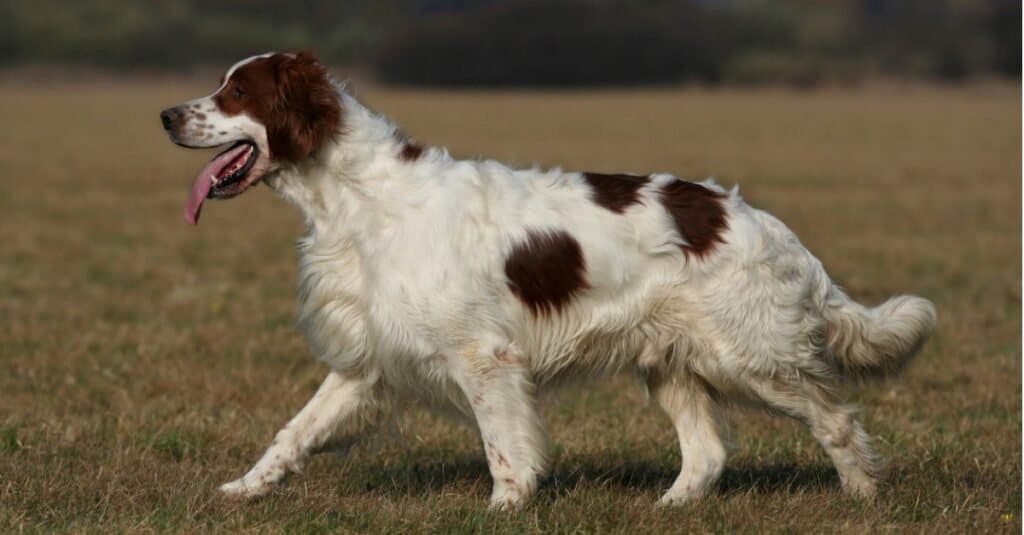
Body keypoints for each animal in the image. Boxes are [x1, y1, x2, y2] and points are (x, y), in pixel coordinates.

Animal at [159, 52, 937, 506]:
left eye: (235, 91)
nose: (165, 113)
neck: (358, 198)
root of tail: (762, 223)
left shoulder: (484, 358)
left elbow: (505, 448)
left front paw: (505, 508)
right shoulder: (369, 359)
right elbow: (293, 432)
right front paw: (243, 489)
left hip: (750, 355)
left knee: (835, 419)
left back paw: (863, 497)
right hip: (673, 362)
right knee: (708, 453)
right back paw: (669, 507)